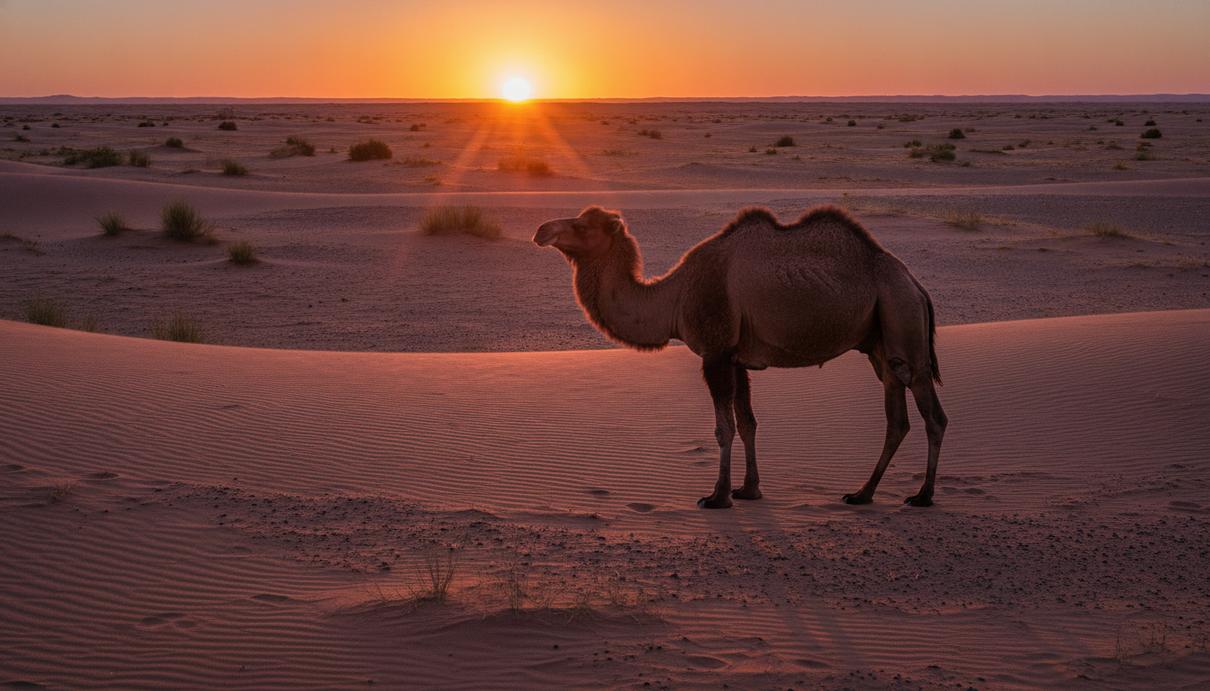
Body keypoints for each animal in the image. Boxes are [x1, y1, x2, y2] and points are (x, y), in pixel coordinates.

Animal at [534, 205, 947, 508]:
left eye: (582, 225)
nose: (540, 230)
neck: (674, 299)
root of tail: (916, 284)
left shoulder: (715, 354)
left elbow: (724, 428)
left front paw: (717, 497)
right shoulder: (737, 359)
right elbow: (748, 423)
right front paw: (749, 490)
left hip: (903, 321)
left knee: (933, 414)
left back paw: (922, 496)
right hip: (882, 344)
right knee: (897, 418)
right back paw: (862, 494)